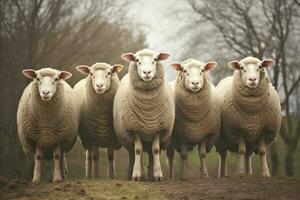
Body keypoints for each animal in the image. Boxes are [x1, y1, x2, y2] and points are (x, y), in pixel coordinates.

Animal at [115, 48, 176, 181]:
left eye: (155, 59)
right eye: (137, 60)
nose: (147, 72)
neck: (148, 109)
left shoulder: (158, 129)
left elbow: (156, 150)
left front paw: (158, 174)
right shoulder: (134, 129)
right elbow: (138, 150)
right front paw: (137, 175)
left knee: (152, 153)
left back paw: (151, 175)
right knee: (134, 153)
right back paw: (139, 174)